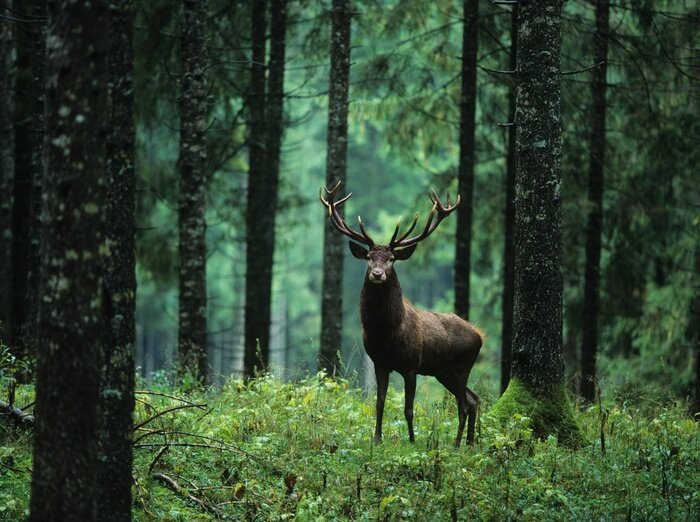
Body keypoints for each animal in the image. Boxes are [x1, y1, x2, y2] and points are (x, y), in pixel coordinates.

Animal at [320, 180, 483, 447]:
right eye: (368, 257)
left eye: (392, 258)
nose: (377, 274)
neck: (386, 332)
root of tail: (480, 335)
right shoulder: (380, 362)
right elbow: (379, 402)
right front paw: (376, 439)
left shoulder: (410, 365)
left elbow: (409, 408)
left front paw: (413, 441)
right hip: (444, 372)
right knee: (474, 399)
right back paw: (469, 443)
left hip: (461, 366)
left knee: (464, 404)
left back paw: (457, 444)